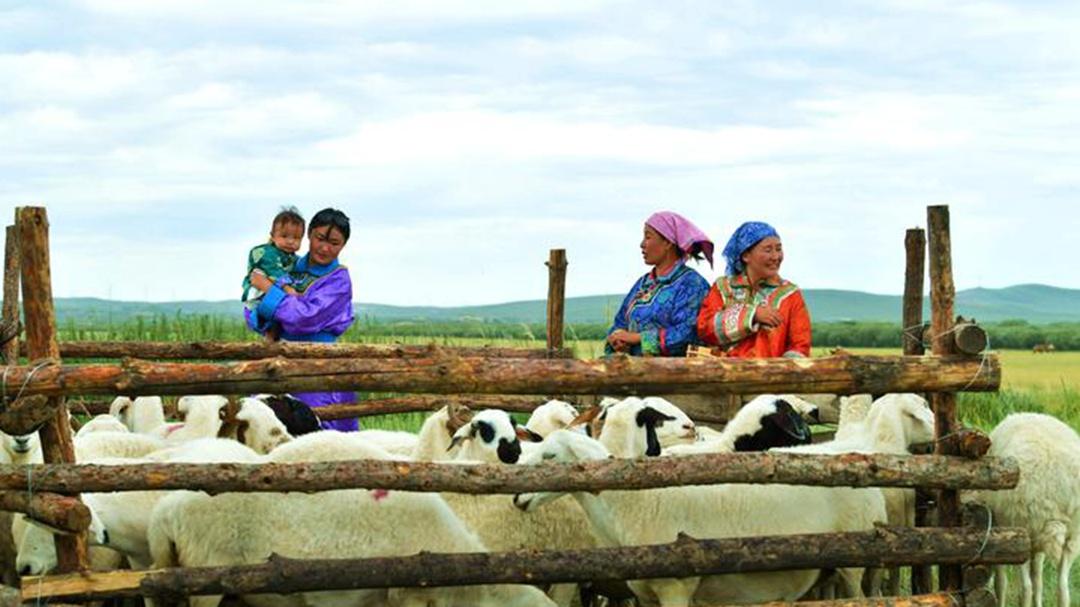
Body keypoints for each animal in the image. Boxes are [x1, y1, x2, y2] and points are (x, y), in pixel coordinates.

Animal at [514, 427, 885, 600]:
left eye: (549, 456)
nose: (516, 496)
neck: (631, 502)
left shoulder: (676, 587)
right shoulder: (646, 594)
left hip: (855, 564)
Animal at [967, 410, 1080, 604]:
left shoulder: (999, 533)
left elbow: (1001, 581)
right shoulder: (1037, 541)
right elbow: (1038, 580)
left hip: (1021, 529)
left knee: (1026, 587)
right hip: (1072, 536)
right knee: (1062, 588)